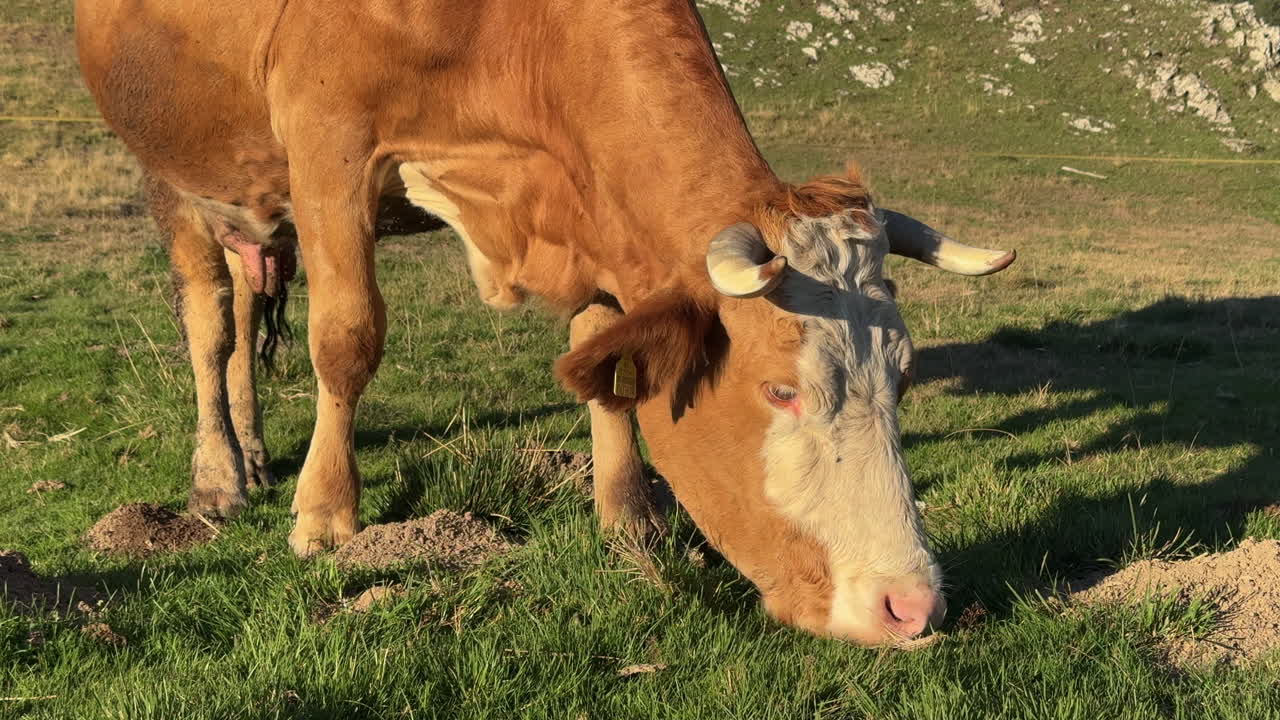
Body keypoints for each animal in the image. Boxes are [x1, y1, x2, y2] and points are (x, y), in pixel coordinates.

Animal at [74, 0, 1015, 646]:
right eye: (779, 390)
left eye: (903, 378)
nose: (911, 605)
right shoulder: (328, 142)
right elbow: (346, 340)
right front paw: (326, 514)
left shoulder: (584, 202)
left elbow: (603, 362)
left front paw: (629, 517)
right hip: (172, 169)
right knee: (212, 324)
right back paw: (219, 476)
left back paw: (257, 450)